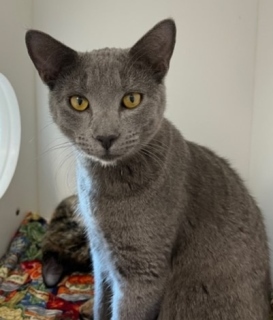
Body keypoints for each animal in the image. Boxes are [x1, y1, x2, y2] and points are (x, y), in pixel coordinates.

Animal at [26, 18, 270, 318]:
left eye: (132, 99)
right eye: (78, 102)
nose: (106, 136)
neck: (104, 190)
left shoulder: (143, 273)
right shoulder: (100, 256)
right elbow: (101, 302)